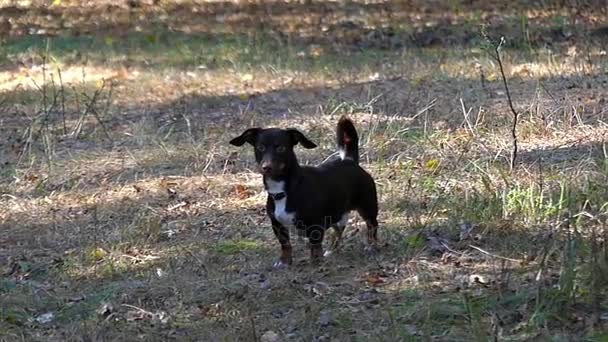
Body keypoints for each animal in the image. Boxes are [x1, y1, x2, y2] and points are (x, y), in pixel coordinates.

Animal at [230, 117, 378, 268]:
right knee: (338, 230)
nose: (267, 167)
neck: (285, 189)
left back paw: (371, 246)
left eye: (281, 148)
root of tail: (349, 160)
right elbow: (286, 245)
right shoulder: (277, 225)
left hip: (367, 208)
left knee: (372, 226)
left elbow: (315, 247)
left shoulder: (316, 225)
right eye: (260, 147)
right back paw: (332, 250)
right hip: (336, 213)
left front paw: (316, 263)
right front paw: (284, 261)